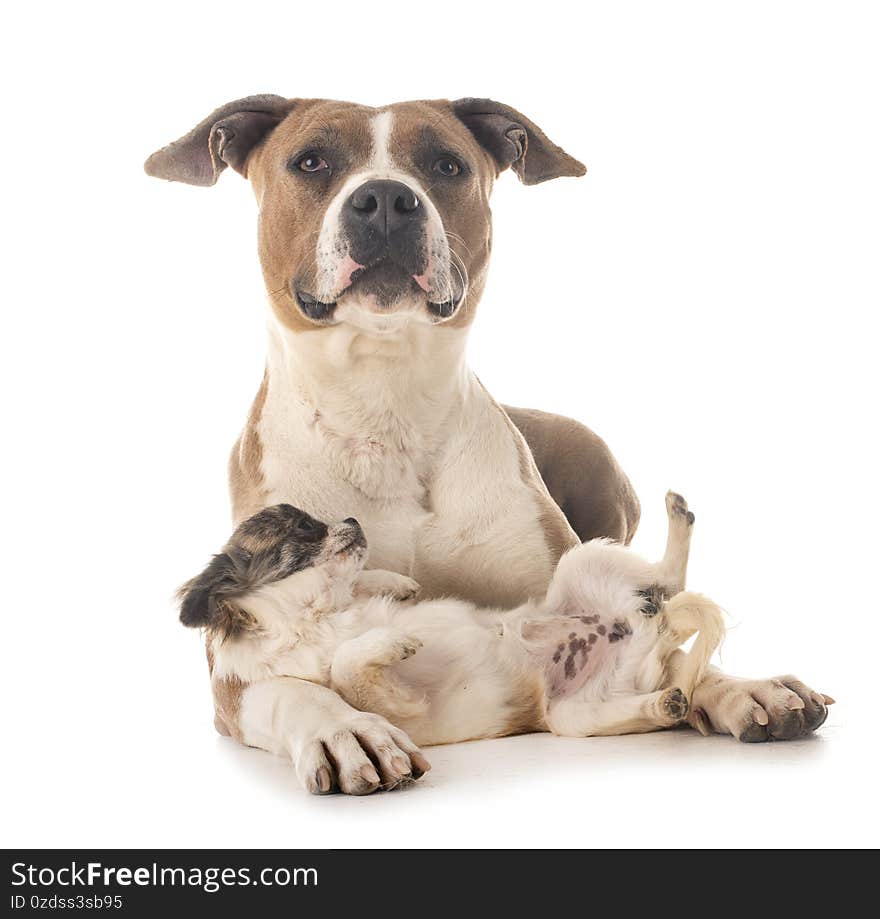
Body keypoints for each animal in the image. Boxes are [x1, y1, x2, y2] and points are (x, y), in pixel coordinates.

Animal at [144, 95, 832, 796]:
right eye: (311, 162)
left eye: (446, 164)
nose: (385, 198)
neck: (384, 405)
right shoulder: (232, 684)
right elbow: (300, 688)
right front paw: (346, 728)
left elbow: (677, 647)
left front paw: (738, 688)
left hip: (590, 479)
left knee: (656, 594)